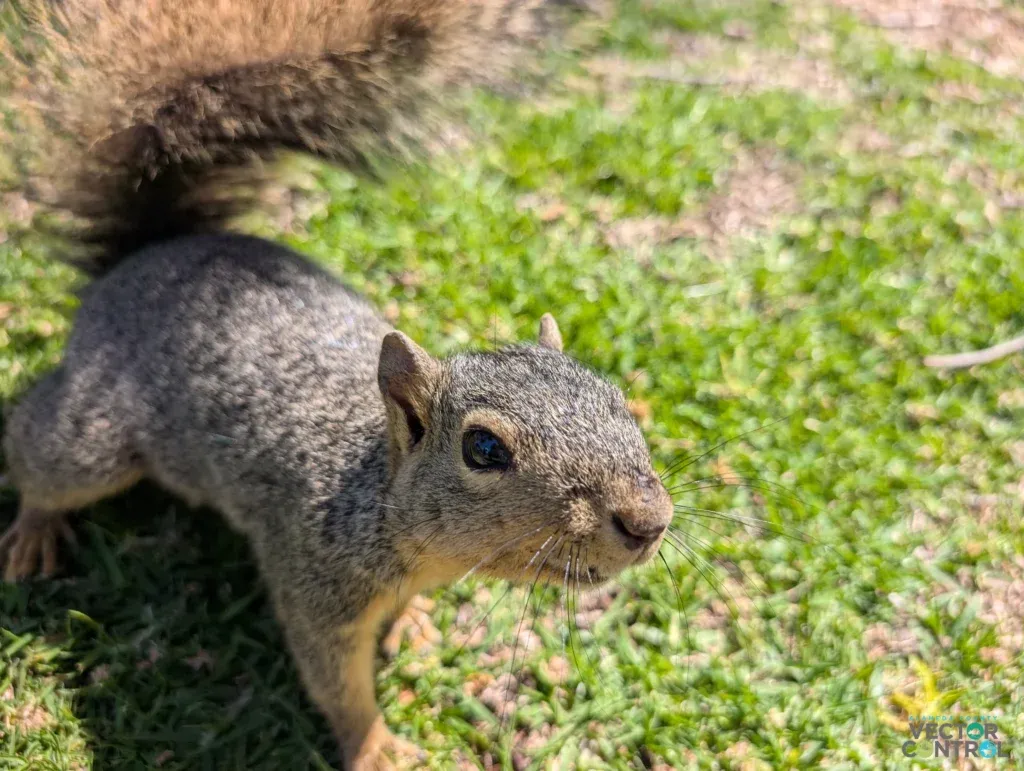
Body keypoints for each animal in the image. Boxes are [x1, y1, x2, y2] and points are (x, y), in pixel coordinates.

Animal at [0, 0, 674, 768]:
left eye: (615, 397)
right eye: (483, 450)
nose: (648, 521)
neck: (376, 496)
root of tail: (142, 259)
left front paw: (413, 624)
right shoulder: (313, 582)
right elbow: (335, 683)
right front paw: (377, 745)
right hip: (94, 439)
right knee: (37, 451)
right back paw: (35, 528)